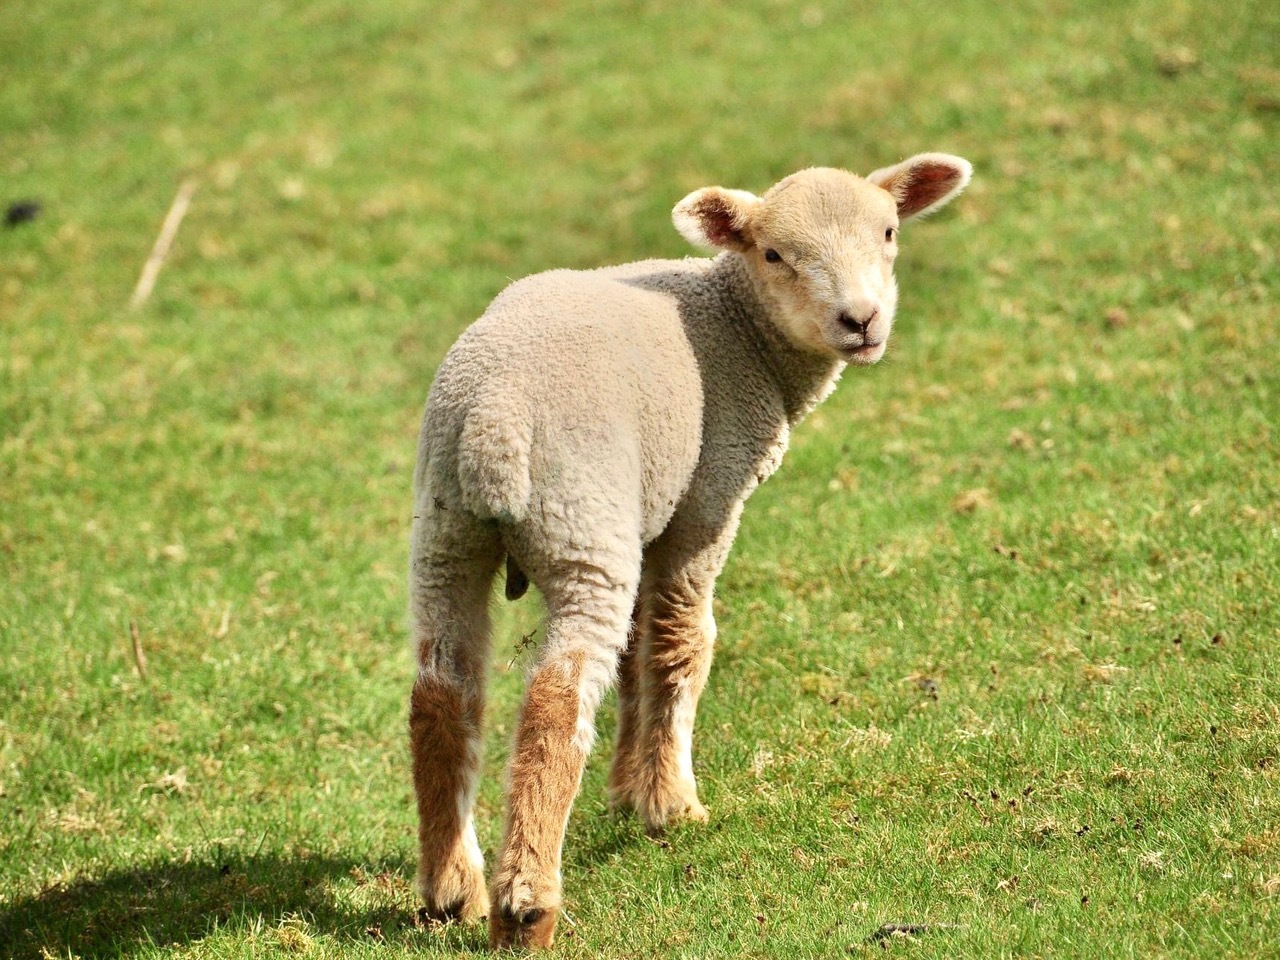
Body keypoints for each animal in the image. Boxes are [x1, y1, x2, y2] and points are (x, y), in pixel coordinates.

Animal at [408, 154, 972, 950]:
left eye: (889, 232)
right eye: (774, 254)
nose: (860, 320)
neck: (738, 329)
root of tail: (493, 421)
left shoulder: (651, 511)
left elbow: (638, 655)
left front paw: (628, 788)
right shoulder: (706, 501)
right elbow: (681, 642)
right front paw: (669, 803)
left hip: (447, 532)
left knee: (439, 695)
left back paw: (451, 889)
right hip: (583, 524)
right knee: (556, 701)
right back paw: (527, 905)